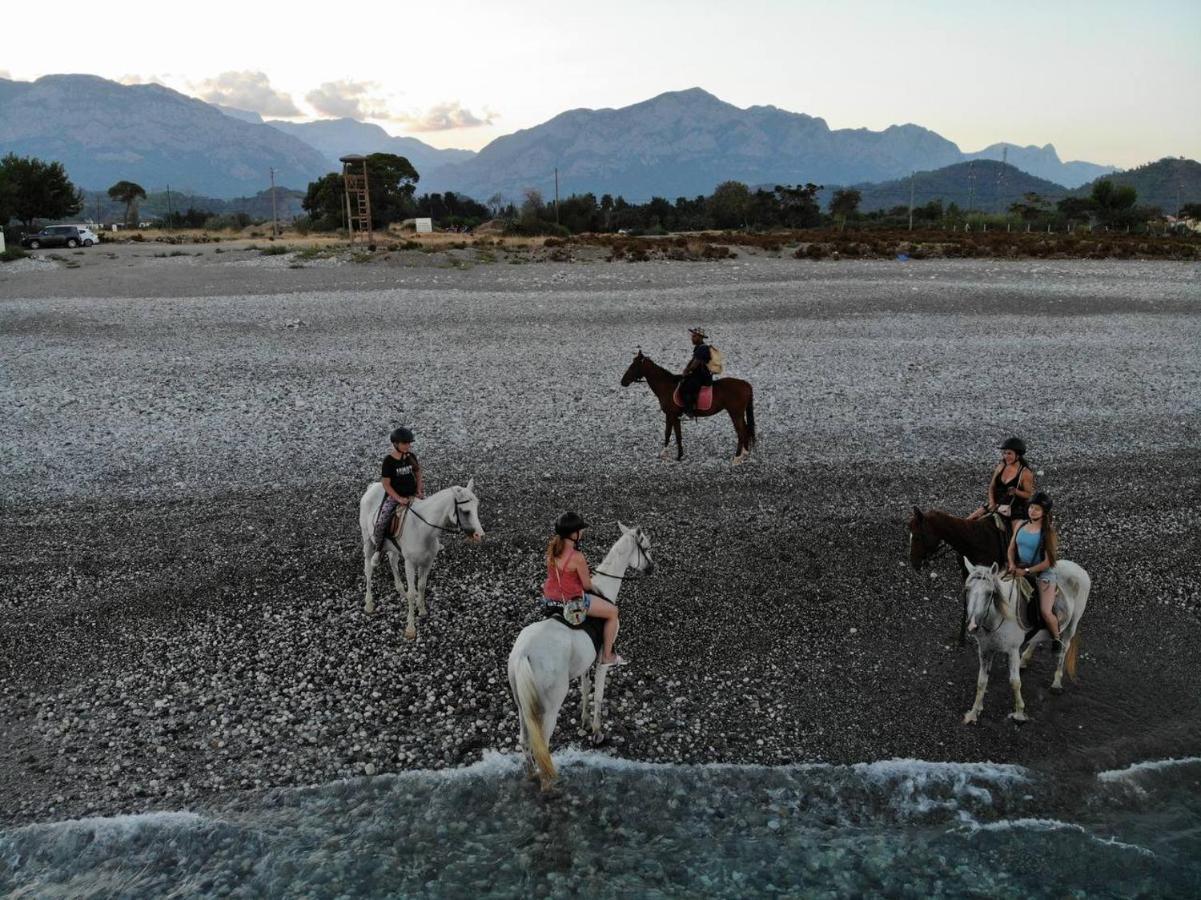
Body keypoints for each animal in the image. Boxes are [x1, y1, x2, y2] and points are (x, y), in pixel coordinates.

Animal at [357, 478, 485, 639]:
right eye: (466, 511)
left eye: (477, 507)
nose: (480, 535)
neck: (423, 529)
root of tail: (372, 487)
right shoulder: (410, 564)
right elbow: (412, 593)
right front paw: (410, 627)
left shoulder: (427, 562)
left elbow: (422, 585)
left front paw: (422, 609)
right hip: (367, 540)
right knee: (368, 569)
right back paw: (369, 603)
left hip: (392, 547)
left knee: (392, 561)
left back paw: (401, 591)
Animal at [506, 523, 658, 788]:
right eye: (646, 547)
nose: (651, 568)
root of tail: (524, 653)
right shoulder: (601, 662)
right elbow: (598, 695)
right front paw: (596, 731)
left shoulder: (585, 665)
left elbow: (586, 691)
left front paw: (585, 722)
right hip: (549, 707)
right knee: (542, 746)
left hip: (522, 706)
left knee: (525, 743)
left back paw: (532, 776)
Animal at [624, 348, 754, 466]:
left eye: (633, 367)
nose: (623, 382)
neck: (666, 386)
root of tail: (745, 384)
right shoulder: (672, 416)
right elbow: (671, 433)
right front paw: (669, 454)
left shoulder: (673, 415)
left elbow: (674, 435)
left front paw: (675, 455)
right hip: (739, 414)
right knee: (746, 429)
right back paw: (745, 453)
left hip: (735, 413)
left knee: (741, 432)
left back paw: (737, 458)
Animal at [907, 509, 1013, 644]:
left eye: (917, 537)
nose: (913, 562)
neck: (974, 540)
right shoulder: (966, 574)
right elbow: (966, 603)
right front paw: (961, 638)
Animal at [960, 555, 1095, 720]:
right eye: (967, 589)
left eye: (990, 593)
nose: (973, 625)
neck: (997, 617)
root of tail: (1078, 567)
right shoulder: (985, 650)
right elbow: (981, 682)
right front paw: (973, 712)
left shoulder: (1012, 651)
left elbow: (1015, 682)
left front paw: (1019, 713)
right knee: (1037, 638)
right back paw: (1024, 660)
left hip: (1072, 624)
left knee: (1064, 649)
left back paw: (1056, 683)